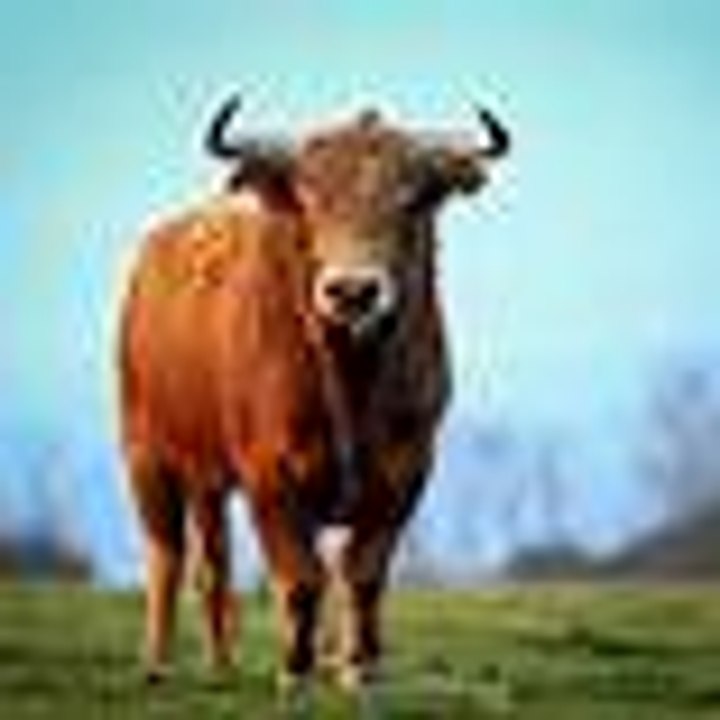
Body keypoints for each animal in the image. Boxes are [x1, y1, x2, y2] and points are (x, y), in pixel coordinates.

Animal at [118, 95, 510, 696]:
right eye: (308, 198)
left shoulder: (406, 473)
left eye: (412, 198)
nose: (353, 291)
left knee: (214, 564)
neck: (351, 382)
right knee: (167, 556)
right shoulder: (269, 476)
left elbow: (362, 574)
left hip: (206, 476)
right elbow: (300, 577)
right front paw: (294, 671)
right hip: (146, 454)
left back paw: (222, 665)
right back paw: (157, 664)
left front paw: (359, 669)